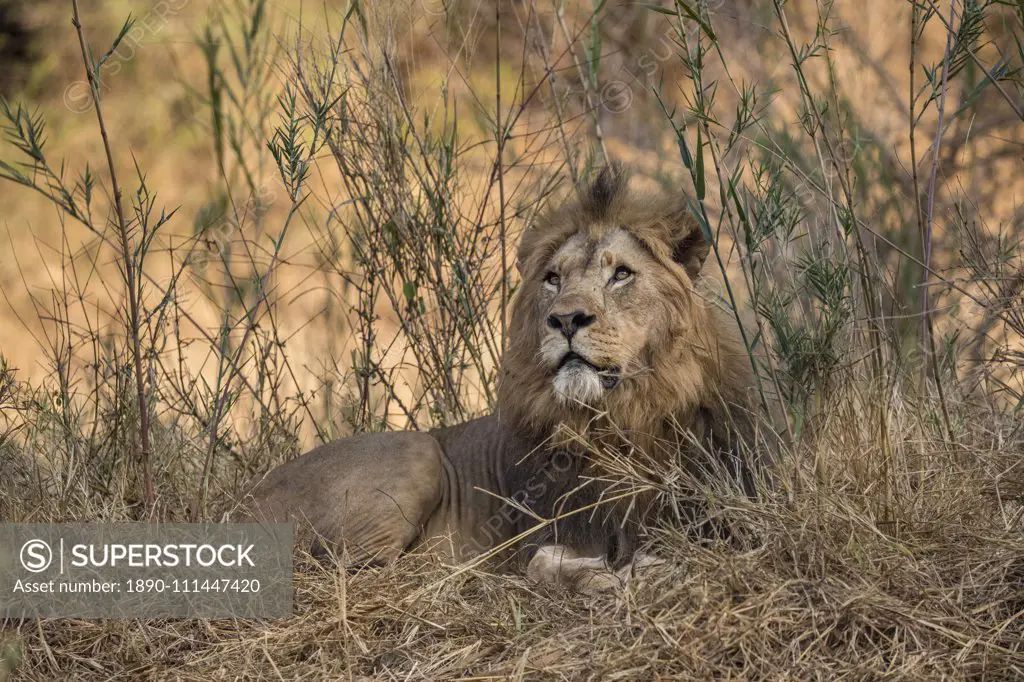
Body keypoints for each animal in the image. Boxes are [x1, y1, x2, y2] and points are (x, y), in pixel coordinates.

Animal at [245, 165, 761, 589]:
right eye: (553, 278)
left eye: (621, 274)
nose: (565, 319)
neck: (619, 419)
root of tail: (241, 502)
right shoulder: (546, 530)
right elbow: (542, 563)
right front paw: (604, 574)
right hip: (417, 451)